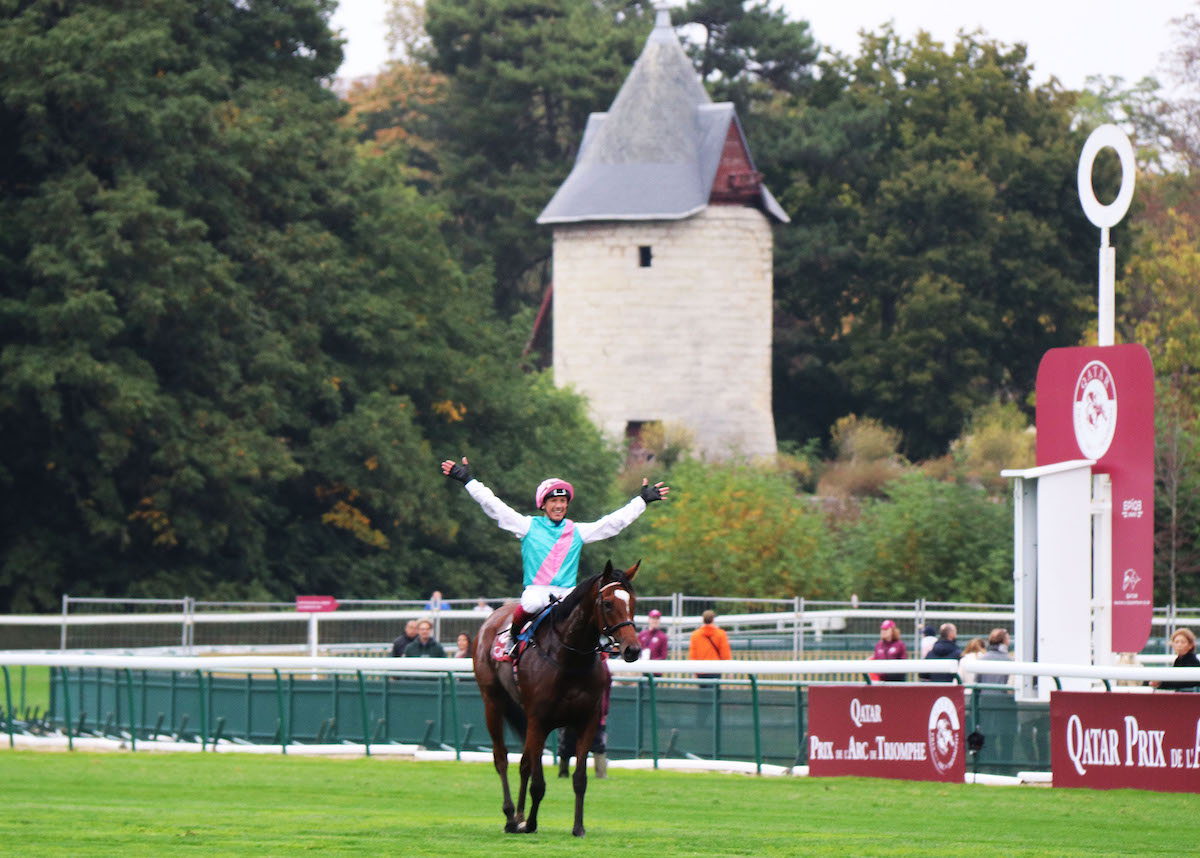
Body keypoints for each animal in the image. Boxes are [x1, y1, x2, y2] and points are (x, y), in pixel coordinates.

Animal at [472, 561, 643, 835]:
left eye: (633, 602)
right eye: (607, 603)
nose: (632, 649)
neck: (569, 658)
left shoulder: (587, 720)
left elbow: (579, 778)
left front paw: (578, 827)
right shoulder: (539, 720)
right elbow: (538, 783)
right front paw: (531, 824)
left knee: (523, 764)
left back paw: (519, 816)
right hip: (492, 701)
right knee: (501, 758)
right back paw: (511, 817)